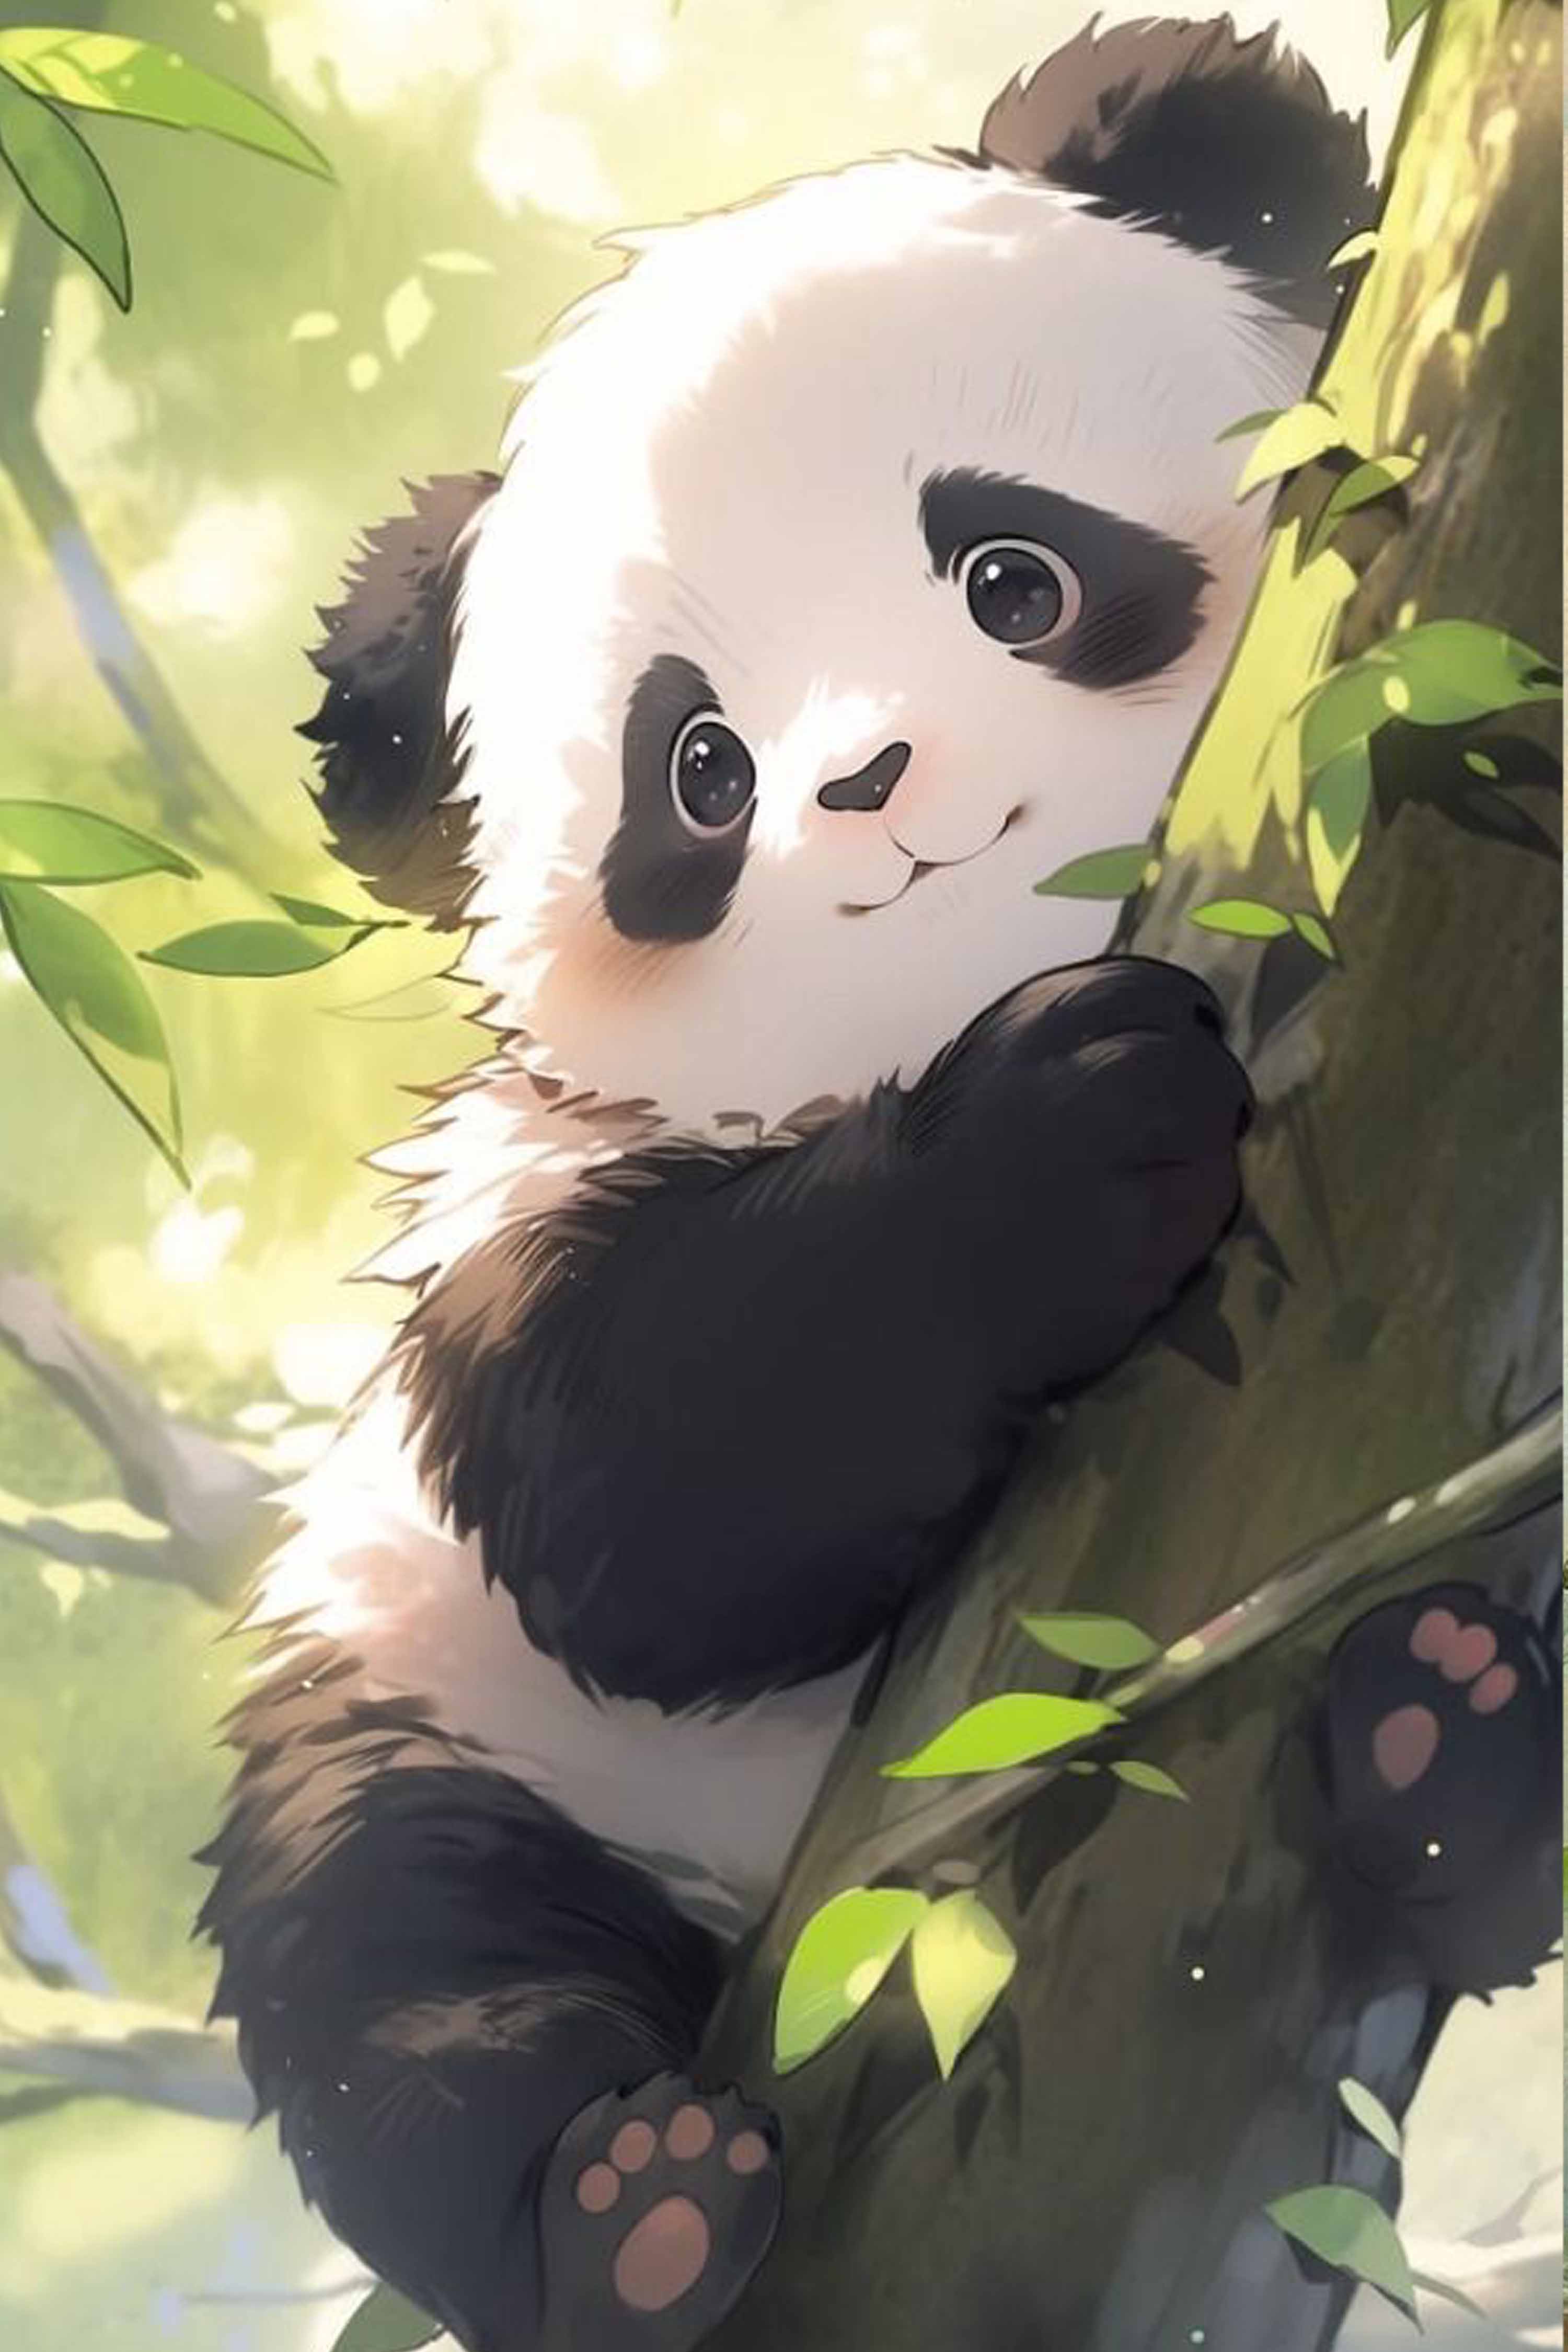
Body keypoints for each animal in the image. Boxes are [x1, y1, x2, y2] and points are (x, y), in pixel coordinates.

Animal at [196, 19, 1556, 2352]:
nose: (869, 788)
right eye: (698, 772)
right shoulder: (536, 1213)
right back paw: (625, 2212)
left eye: (1014, 574)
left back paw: (1444, 1751)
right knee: (400, 1961)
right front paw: (1068, 1133)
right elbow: (651, 1494)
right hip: (433, 1714)